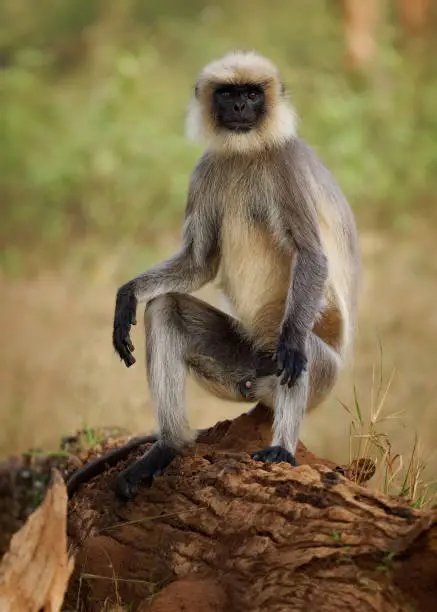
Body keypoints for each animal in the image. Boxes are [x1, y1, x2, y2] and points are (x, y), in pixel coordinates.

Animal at [67, 51, 362, 502]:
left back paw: (282, 448)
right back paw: (169, 446)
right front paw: (127, 296)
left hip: (315, 377)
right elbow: (198, 262)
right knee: (166, 308)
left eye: (252, 94)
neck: (247, 153)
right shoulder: (206, 170)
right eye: (228, 93)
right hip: (242, 368)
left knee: (299, 350)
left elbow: (312, 255)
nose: (239, 107)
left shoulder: (286, 165)